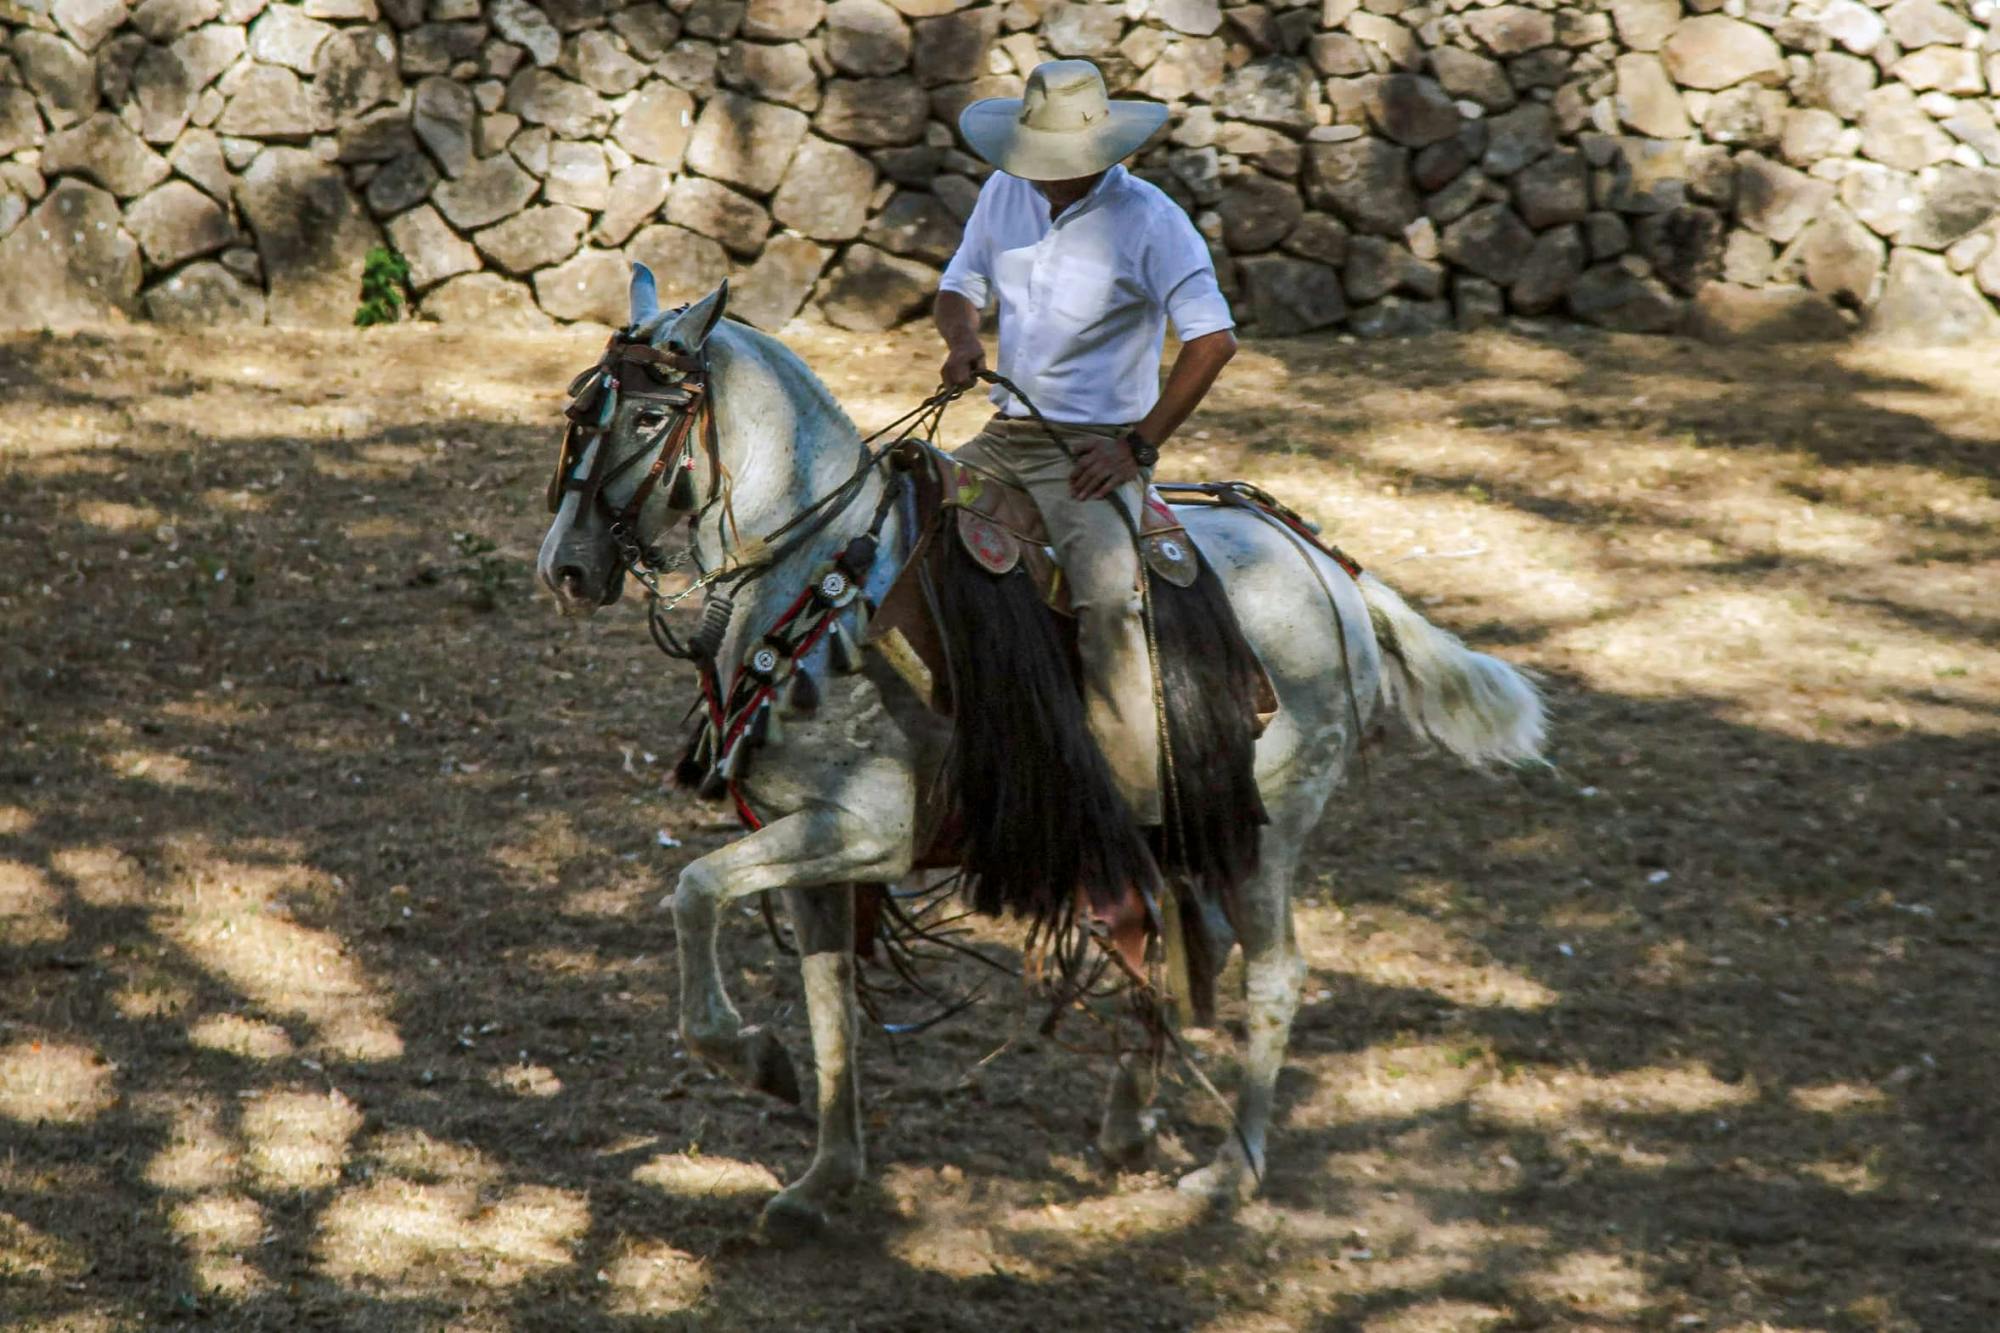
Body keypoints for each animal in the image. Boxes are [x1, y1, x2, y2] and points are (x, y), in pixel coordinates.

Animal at [536, 270, 1544, 1232]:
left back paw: (1232, 1169)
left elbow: (693, 890)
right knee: (1191, 938)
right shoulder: (808, 844)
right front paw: (823, 1175)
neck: (822, 574)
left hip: (1269, 829)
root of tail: (1331, 569)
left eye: (652, 416)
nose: (567, 568)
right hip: (1190, 824)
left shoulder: (870, 830)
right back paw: (1130, 1117)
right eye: (583, 406)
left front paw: (754, 1059)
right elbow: (829, 1006)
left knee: (1273, 973)